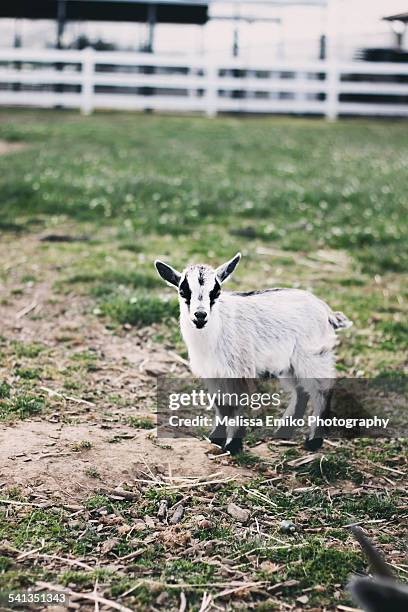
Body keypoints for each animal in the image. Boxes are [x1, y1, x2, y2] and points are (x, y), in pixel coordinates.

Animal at [155, 253, 352, 454]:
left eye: (216, 291)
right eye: (183, 291)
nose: (200, 315)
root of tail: (326, 311)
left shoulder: (237, 370)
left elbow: (234, 404)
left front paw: (233, 445)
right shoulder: (213, 372)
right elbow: (221, 404)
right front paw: (216, 438)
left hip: (312, 356)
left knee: (322, 390)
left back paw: (313, 441)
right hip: (288, 363)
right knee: (301, 392)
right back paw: (282, 433)